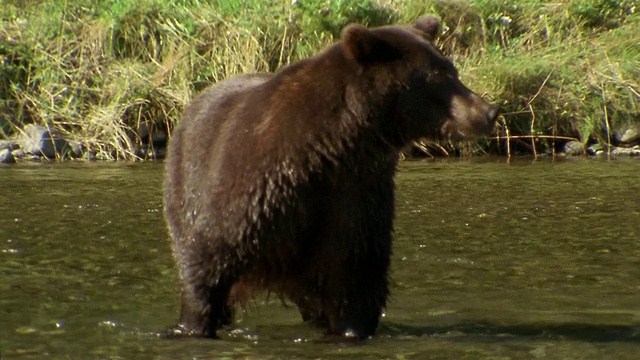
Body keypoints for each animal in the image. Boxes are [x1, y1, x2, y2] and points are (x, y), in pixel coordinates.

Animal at [162, 15, 498, 338]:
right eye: (439, 76)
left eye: (452, 70)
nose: (489, 111)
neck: (333, 146)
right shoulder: (257, 185)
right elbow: (211, 257)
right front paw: (193, 324)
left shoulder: (356, 194)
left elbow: (356, 281)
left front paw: (352, 328)